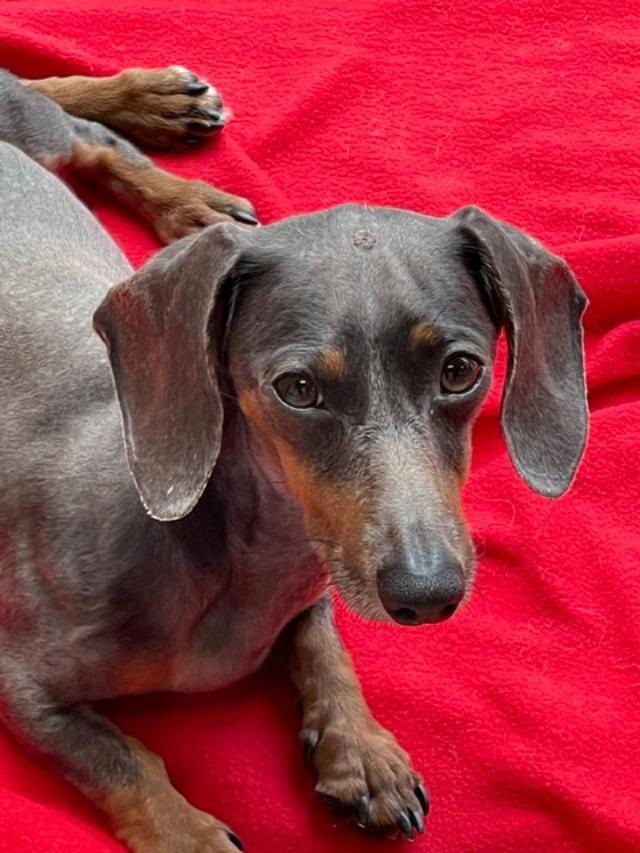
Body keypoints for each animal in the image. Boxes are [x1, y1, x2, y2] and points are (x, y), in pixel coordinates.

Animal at [0, 66, 592, 852]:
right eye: (298, 388)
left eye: (461, 370)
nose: (427, 594)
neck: (246, 563)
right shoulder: (23, 684)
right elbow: (121, 758)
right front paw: (187, 834)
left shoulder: (321, 574)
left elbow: (322, 642)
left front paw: (362, 751)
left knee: (82, 132)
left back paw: (181, 172)